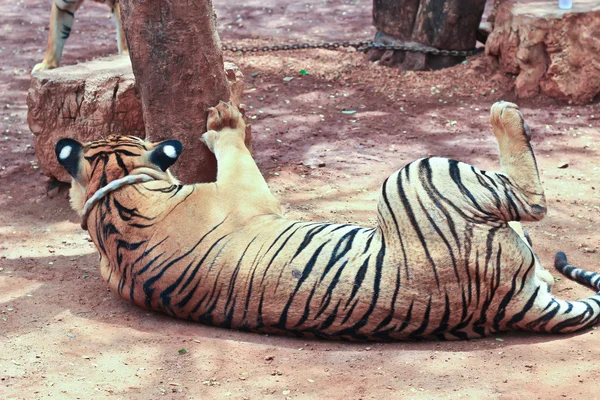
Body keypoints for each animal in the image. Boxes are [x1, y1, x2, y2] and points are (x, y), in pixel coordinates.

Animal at [55, 101, 600, 340]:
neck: (112, 200)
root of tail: (508, 306)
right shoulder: (247, 192)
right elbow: (235, 151)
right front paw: (224, 119)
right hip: (416, 174)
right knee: (529, 202)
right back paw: (504, 111)